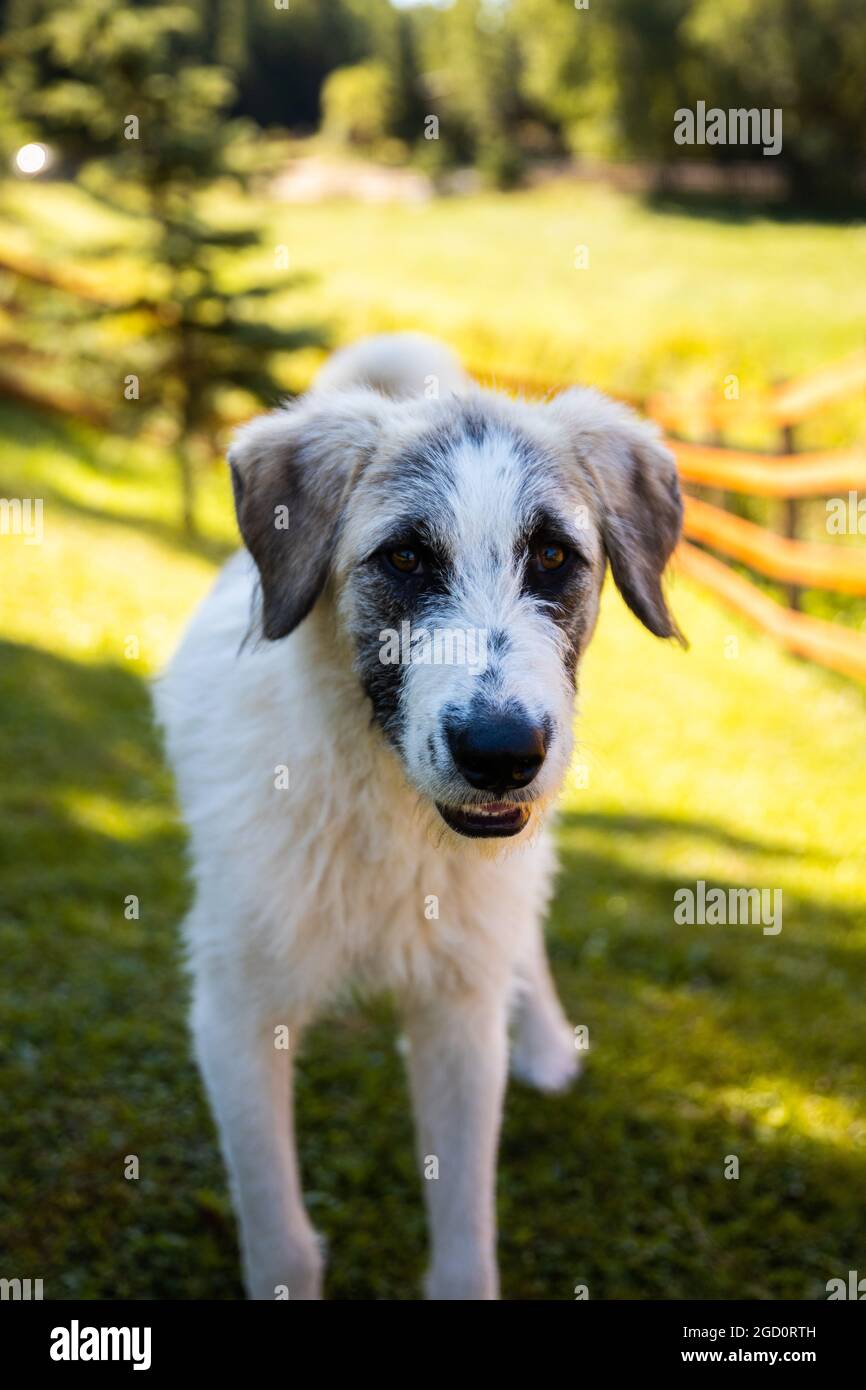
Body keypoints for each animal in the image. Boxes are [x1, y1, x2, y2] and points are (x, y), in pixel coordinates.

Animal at [155, 333, 683, 1301]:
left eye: (553, 557)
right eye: (403, 560)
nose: (502, 753)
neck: (388, 814)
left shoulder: (458, 1016)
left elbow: (466, 1225)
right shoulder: (235, 1012)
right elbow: (278, 1229)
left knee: (525, 940)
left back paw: (547, 1044)